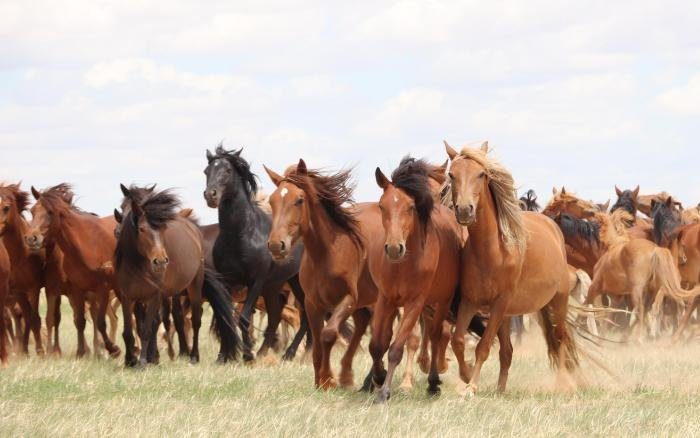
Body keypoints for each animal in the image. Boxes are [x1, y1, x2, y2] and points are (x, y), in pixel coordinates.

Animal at [24, 184, 121, 358]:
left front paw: (113, 349)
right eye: (32, 211)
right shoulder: (75, 290)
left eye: (50, 212)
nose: (31, 238)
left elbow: (100, 322)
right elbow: (79, 321)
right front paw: (80, 352)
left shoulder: (101, 288)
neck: (85, 245)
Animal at [114, 185, 239, 366]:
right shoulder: (129, 296)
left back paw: (194, 356)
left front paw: (148, 360)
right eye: (123, 206)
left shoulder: (156, 295)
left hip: (194, 287)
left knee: (196, 319)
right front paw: (131, 360)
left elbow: (150, 326)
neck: (137, 263)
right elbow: (131, 330)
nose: (160, 261)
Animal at [203, 144, 307, 361]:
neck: (242, 235)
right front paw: (224, 356)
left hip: (297, 282)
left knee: (304, 316)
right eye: (206, 171)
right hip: (275, 285)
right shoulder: (227, 281)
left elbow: (243, 318)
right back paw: (265, 352)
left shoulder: (256, 281)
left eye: (227, 171)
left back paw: (290, 353)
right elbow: (226, 316)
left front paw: (247, 353)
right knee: (276, 316)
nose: (211, 195)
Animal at [444, 141, 583, 395]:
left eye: (482, 174)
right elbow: (458, 340)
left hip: (557, 302)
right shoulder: (470, 301)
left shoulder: (500, 303)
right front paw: (466, 375)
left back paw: (562, 384)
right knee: (507, 352)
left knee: (560, 340)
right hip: (508, 315)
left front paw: (471, 386)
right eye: (452, 174)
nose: (465, 210)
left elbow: (482, 346)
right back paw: (500, 389)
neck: (492, 251)